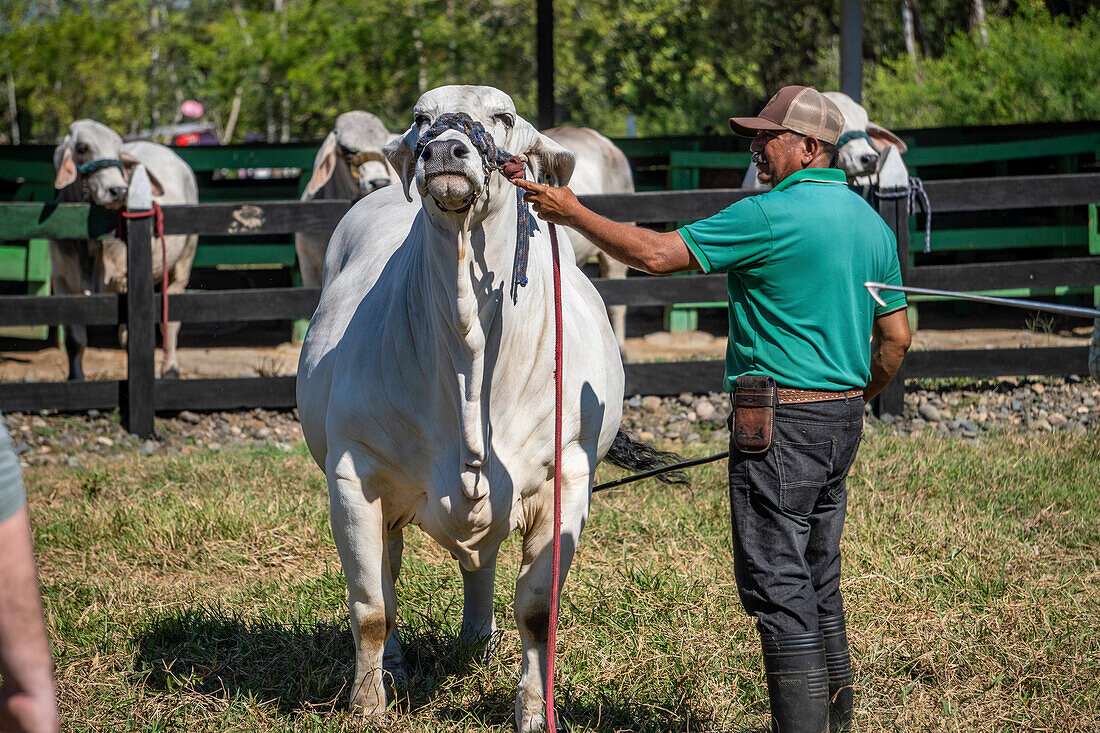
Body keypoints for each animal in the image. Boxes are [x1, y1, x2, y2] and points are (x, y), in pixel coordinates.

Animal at [52, 117, 199, 378]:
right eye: (82, 148)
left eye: (118, 152)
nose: (119, 190)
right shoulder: (61, 281)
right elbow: (74, 340)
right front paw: (75, 378)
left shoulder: (126, 281)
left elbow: (128, 338)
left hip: (181, 266)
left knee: (170, 323)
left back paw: (170, 369)